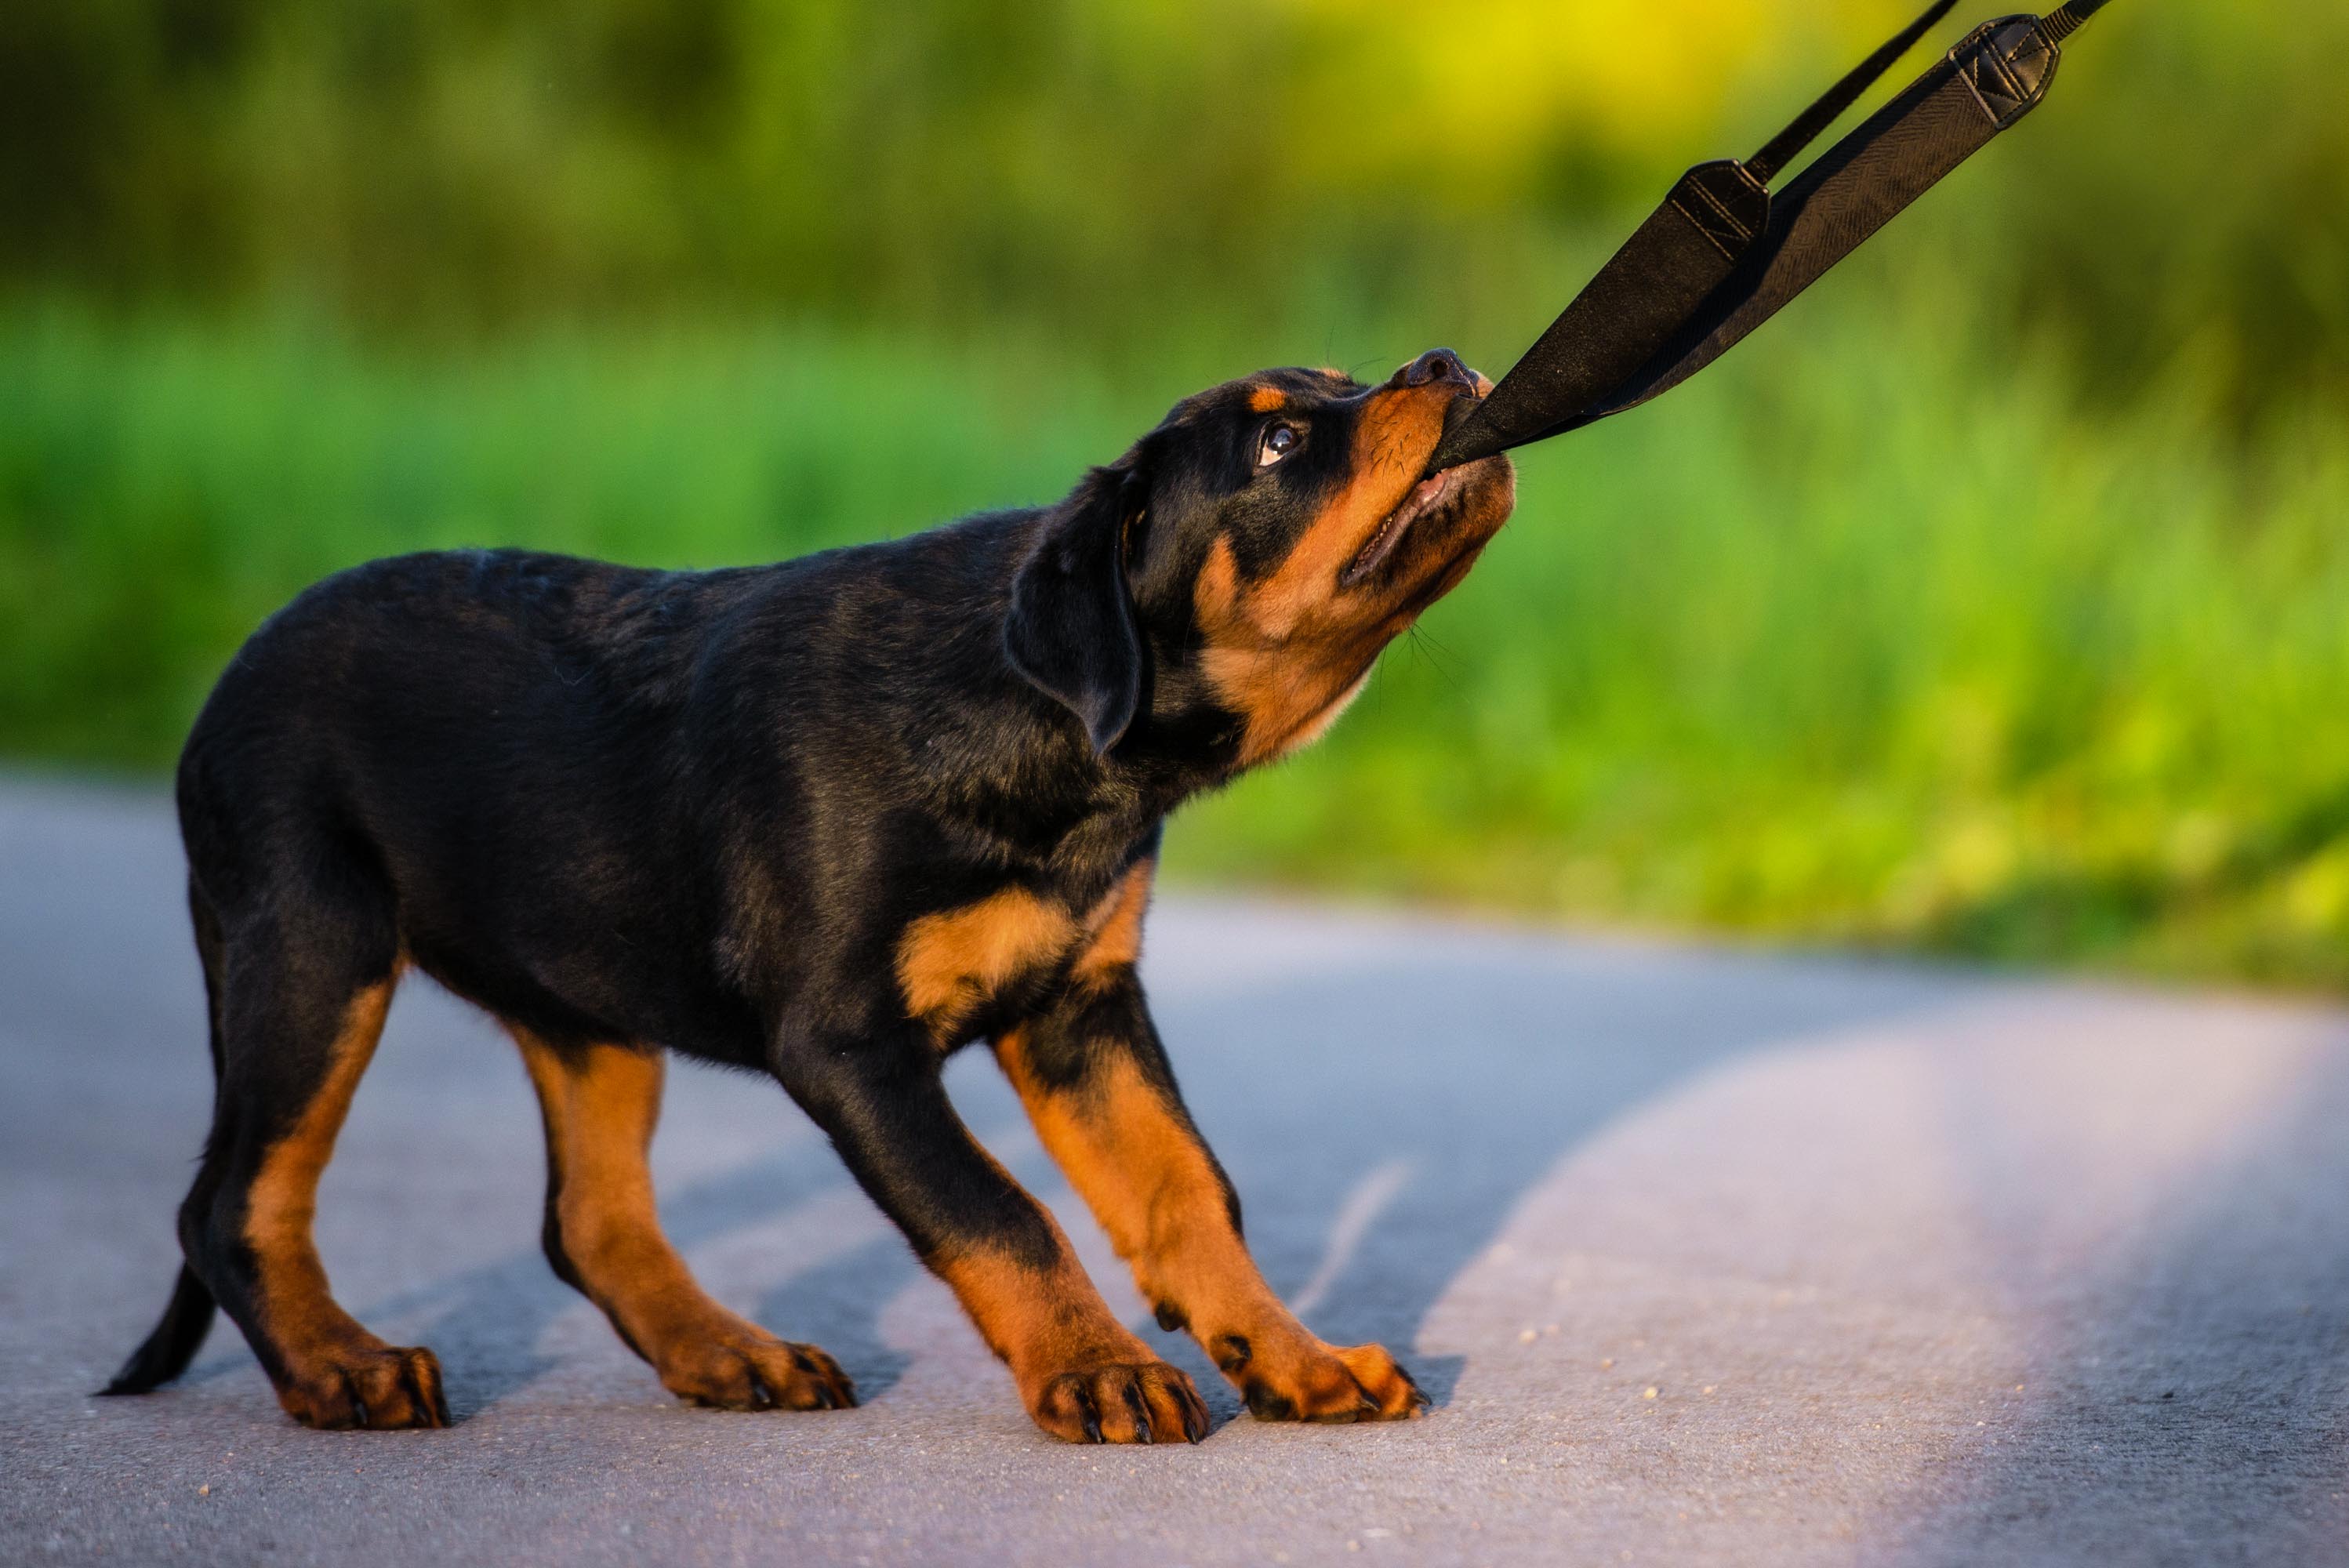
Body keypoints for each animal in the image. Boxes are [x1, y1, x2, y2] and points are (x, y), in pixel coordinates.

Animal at [100, 345, 1512, 1446]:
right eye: (1279, 441)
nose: (1447, 364)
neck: (1044, 728)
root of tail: (227, 681)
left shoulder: (1079, 1005)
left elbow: (1186, 1190)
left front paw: (1296, 1361)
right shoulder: (846, 1041)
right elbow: (997, 1211)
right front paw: (1099, 1372)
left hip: (582, 998)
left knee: (586, 1220)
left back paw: (734, 1356)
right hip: (314, 945)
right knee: (232, 1203)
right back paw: (345, 1369)